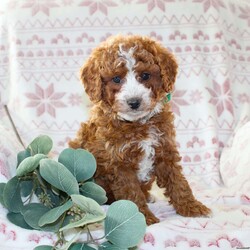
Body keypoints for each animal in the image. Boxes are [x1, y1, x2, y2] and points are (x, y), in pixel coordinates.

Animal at [70, 34, 211, 225]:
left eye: (145, 75)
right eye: (116, 79)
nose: (134, 102)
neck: (138, 124)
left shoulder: (164, 150)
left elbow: (178, 182)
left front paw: (192, 207)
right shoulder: (119, 163)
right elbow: (131, 192)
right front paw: (142, 217)